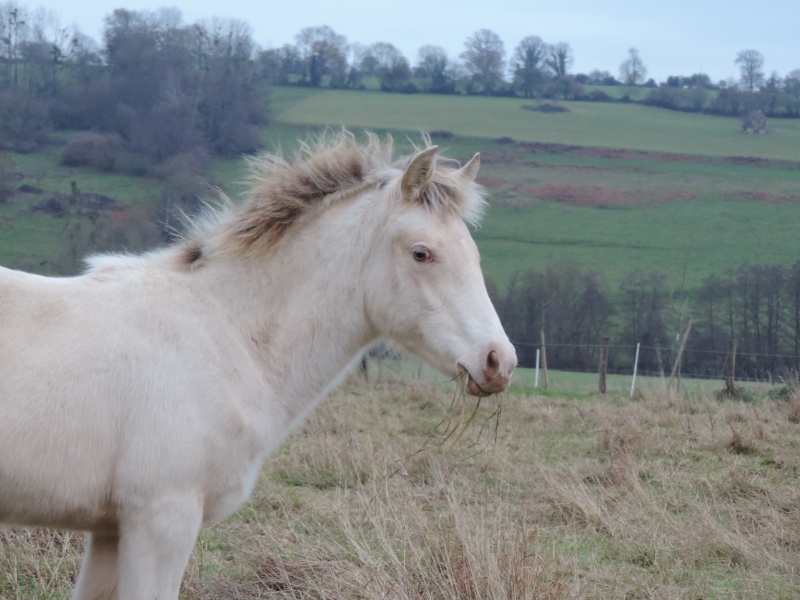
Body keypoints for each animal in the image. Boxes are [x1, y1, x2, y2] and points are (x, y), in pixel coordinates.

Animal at [0, 131, 516, 600]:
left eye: (474, 253)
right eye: (421, 253)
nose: (499, 361)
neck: (225, 334)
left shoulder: (111, 531)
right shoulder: (161, 520)